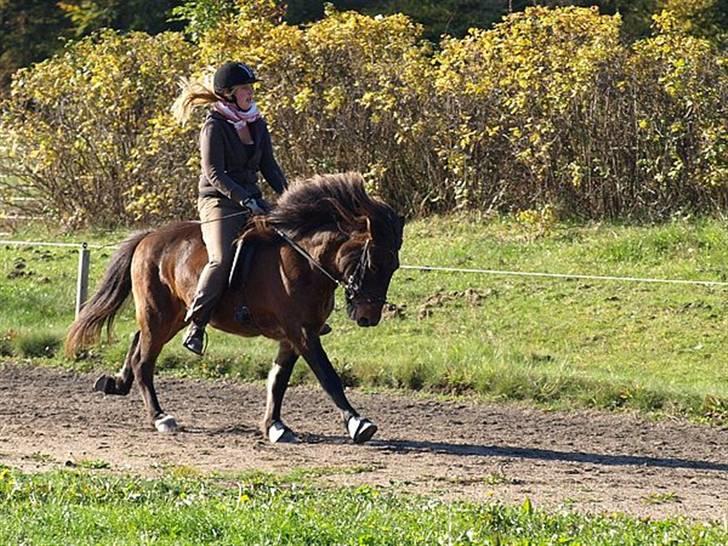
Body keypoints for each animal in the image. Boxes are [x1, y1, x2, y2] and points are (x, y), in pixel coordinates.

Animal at [65, 172, 404, 444]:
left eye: (394, 266)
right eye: (374, 263)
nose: (368, 317)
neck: (305, 260)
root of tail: (149, 237)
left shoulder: (292, 336)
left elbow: (278, 381)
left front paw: (275, 426)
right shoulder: (302, 332)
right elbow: (328, 376)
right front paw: (359, 423)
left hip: (174, 315)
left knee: (137, 342)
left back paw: (119, 383)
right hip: (158, 314)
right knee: (144, 361)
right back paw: (160, 417)